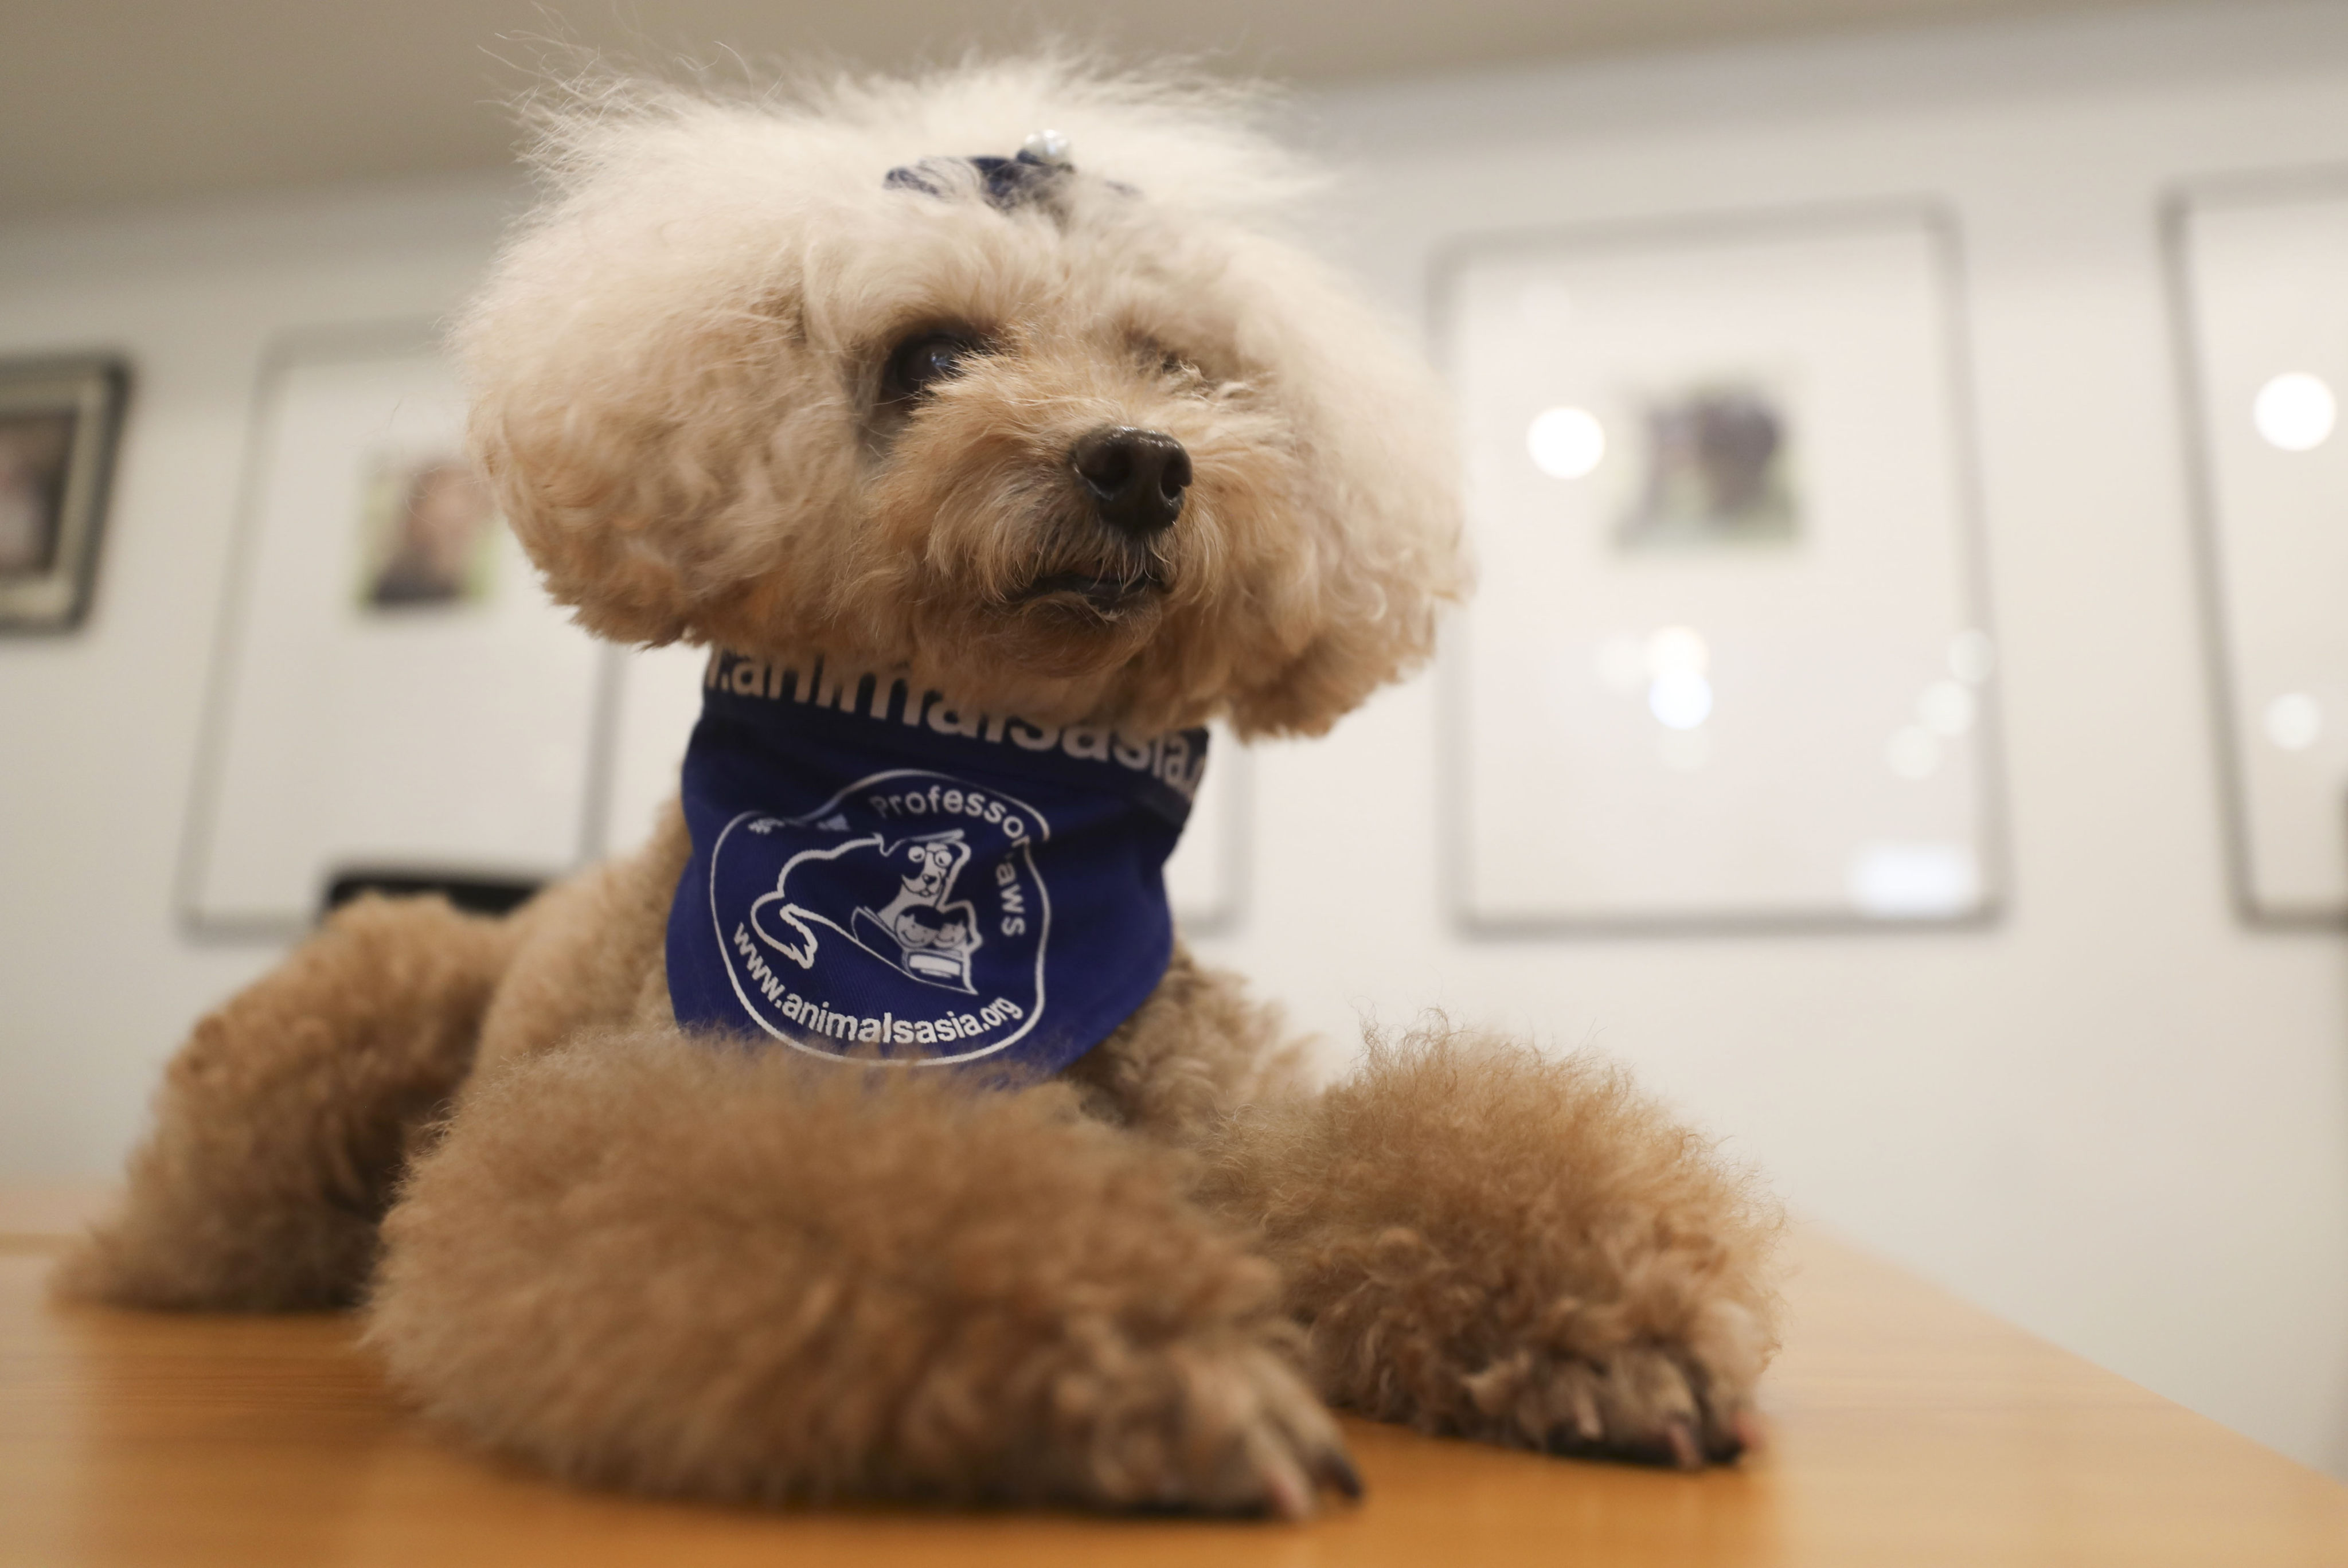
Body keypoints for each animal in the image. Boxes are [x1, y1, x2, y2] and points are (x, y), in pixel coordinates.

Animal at [73, 61, 1775, 1521]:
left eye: (1177, 367)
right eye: (936, 355)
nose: (1143, 462)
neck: (980, 760)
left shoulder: (1217, 1127)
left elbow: (1399, 1156)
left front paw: (1606, 1328)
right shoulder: (667, 1113)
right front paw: (1140, 1359)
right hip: (363, 994)